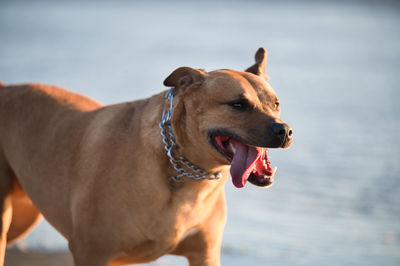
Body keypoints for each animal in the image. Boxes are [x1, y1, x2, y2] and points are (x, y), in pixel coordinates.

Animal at [0, 48, 294, 266]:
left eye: (276, 104)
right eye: (238, 105)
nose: (285, 131)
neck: (186, 173)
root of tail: (5, 88)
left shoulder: (205, 253)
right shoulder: (92, 251)